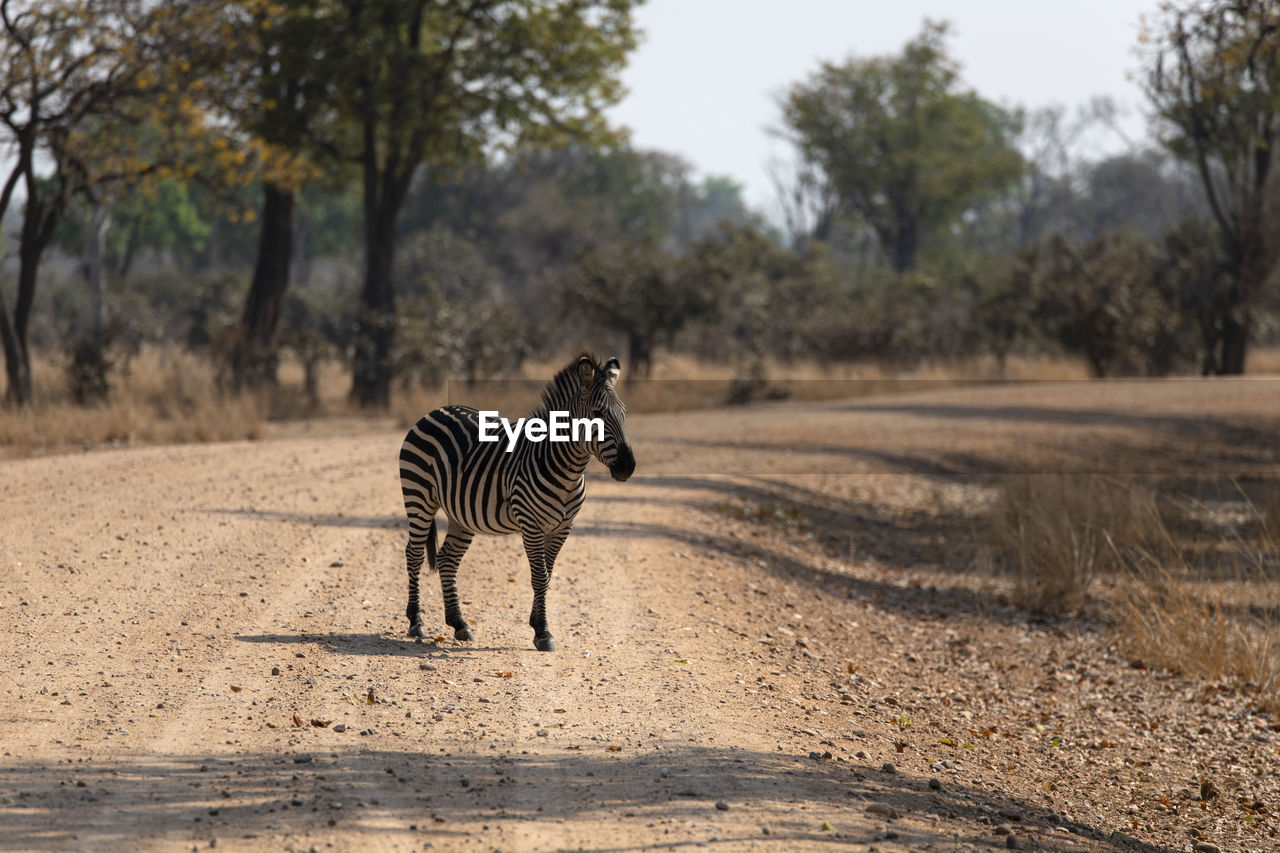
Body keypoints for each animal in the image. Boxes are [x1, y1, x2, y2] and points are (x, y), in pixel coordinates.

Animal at [394, 348, 634, 648]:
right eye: (598, 414)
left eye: (624, 413)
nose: (628, 467)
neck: (567, 470)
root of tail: (434, 411)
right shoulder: (531, 525)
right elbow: (540, 576)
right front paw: (542, 631)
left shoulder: (563, 527)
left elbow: (548, 574)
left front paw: (536, 623)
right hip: (419, 497)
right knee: (413, 554)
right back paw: (416, 621)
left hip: (460, 513)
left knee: (447, 559)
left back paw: (459, 624)